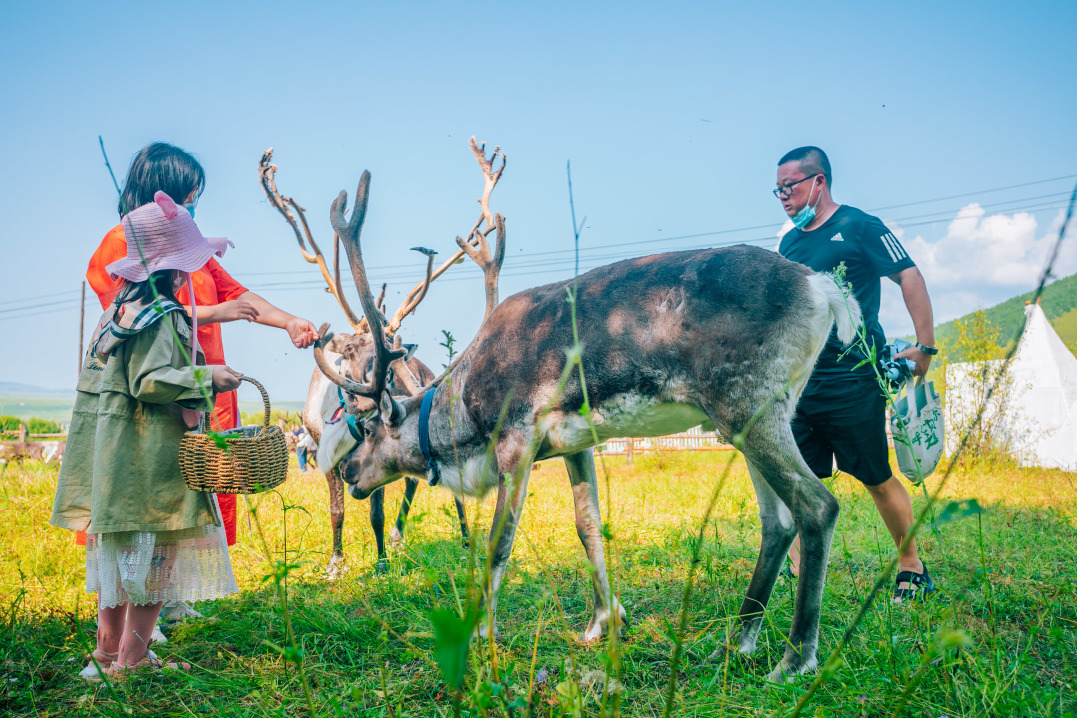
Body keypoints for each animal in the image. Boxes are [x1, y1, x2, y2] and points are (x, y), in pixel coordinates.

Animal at [259, 140, 508, 576]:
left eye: (391, 353)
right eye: (349, 351)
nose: (368, 397)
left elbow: (377, 509)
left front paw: (380, 563)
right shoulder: (325, 454)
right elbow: (337, 511)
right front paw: (336, 563)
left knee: (432, 488)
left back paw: (453, 538)